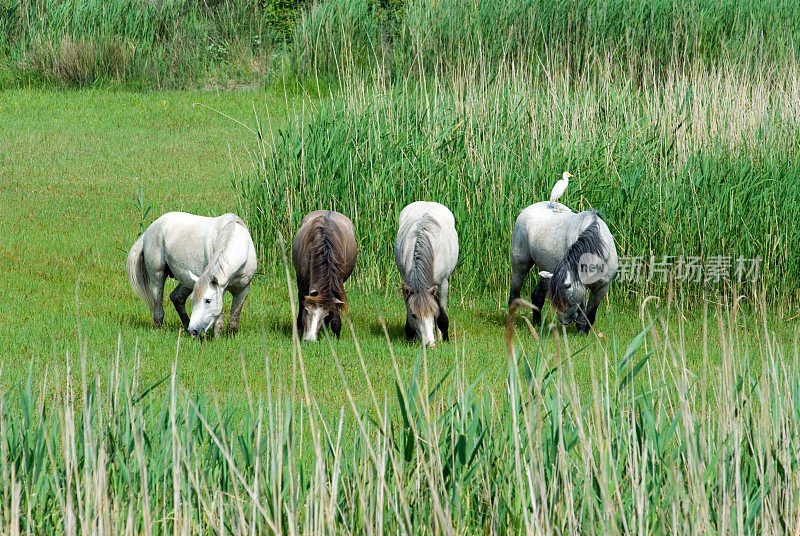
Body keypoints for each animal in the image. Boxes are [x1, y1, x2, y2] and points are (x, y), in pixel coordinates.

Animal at [126, 211, 256, 338]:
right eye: (193, 300)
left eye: (208, 301)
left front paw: (231, 338)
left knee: (176, 298)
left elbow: (234, 319)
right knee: (158, 306)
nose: (193, 330)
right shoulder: (220, 289)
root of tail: (150, 229)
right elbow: (218, 320)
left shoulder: (243, 289)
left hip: (187, 281)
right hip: (158, 276)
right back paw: (161, 329)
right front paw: (216, 339)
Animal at [292, 211, 358, 342]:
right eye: (307, 311)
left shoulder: (337, 283)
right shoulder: (302, 283)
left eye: (325, 315)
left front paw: (336, 332)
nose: (309, 340)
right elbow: (301, 302)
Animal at [392, 201, 456, 348]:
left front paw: (445, 338)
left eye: (432, 313)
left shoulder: (442, 284)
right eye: (414, 315)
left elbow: (441, 315)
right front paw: (409, 337)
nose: (430, 344)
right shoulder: (407, 285)